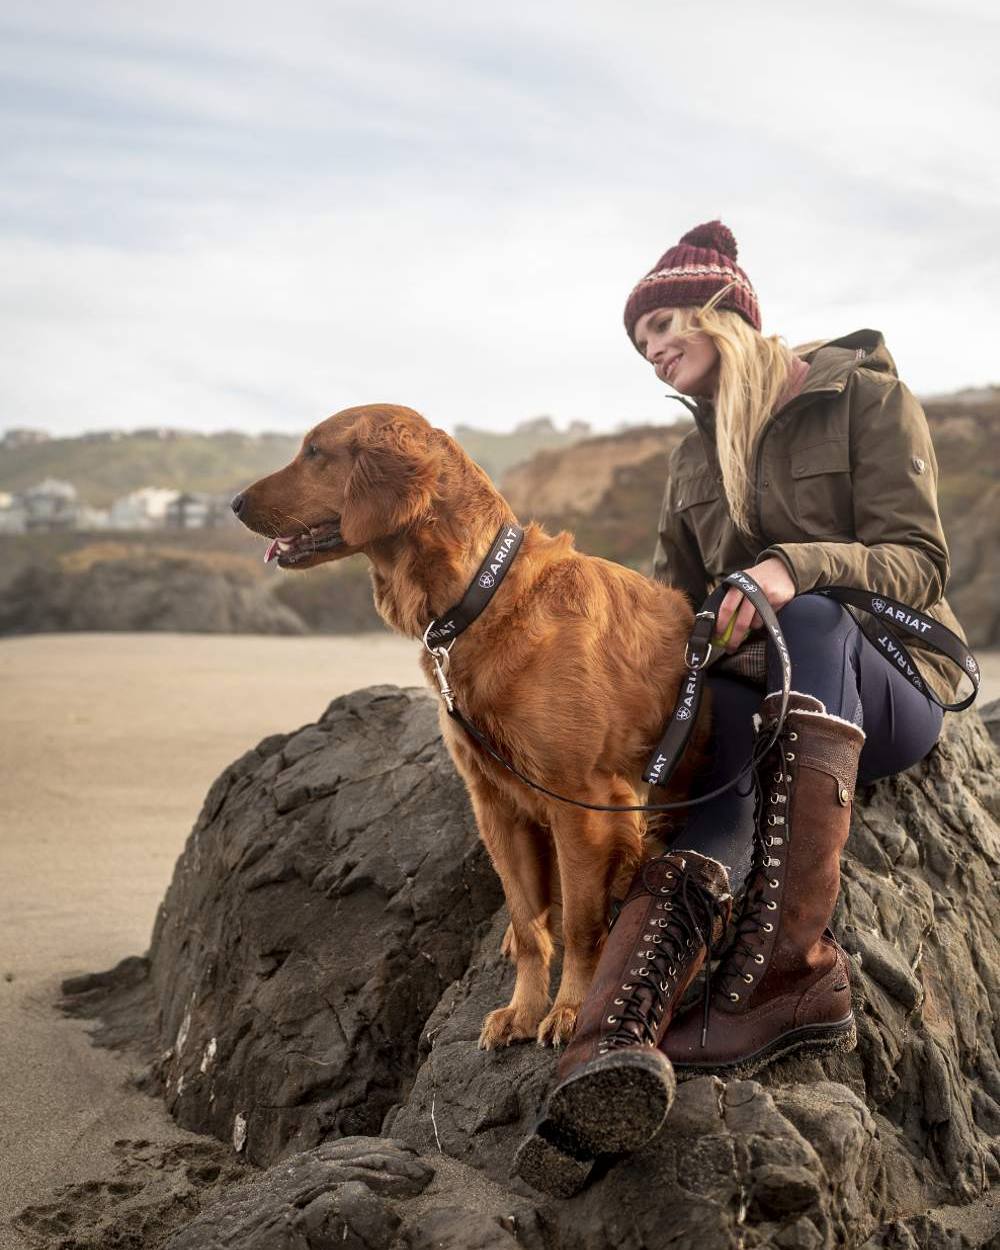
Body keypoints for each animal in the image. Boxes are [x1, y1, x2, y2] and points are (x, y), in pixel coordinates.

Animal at [235, 405, 705, 1050]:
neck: (478, 599)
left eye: (314, 452)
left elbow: (582, 926)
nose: (233, 502)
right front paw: (523, 1009)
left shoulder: (582, 801)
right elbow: (530, 926)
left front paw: (568, 1008)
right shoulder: (492, 802)